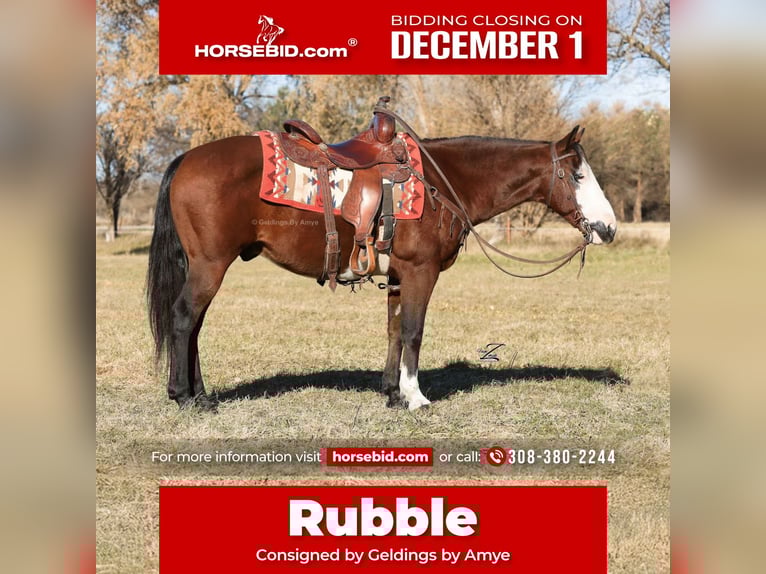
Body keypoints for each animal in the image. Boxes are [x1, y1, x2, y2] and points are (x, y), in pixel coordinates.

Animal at [147, 120, 617, 412]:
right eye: (578, 176)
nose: (608, 228)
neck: (442, 181)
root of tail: (186, 159)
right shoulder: (420, 272)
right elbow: (413, 331)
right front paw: (416, 397)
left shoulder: (396, 276)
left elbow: (393, 331)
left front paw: (392, 393)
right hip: (209, 266)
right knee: (184, 318)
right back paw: (184, 397)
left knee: (193, 327)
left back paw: (201, 394)